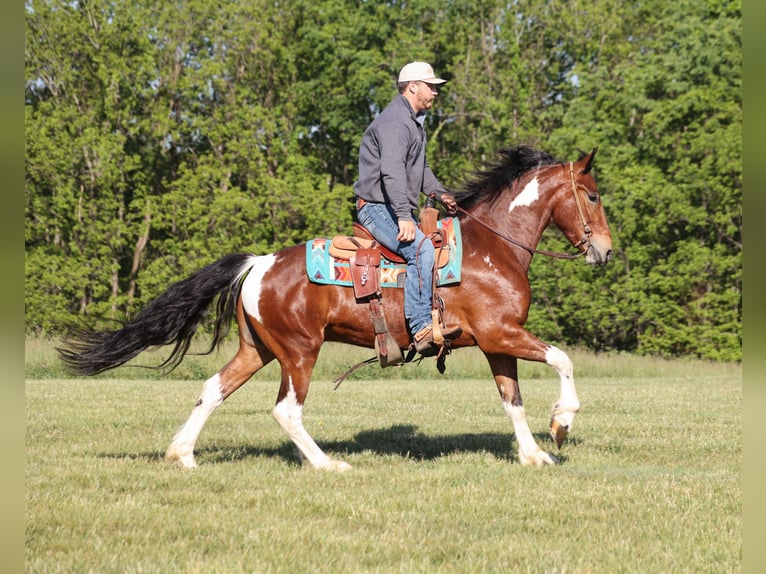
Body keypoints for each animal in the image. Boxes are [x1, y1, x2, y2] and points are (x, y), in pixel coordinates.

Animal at [59, 145, 613, 469]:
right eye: (592, 195)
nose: (605, 251)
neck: (492, 247)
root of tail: (257, 263)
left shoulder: (496, 342)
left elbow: (511, 399)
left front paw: (534, 454)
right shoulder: (501, 333)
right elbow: (562, 359)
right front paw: (561, 425)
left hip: (258, 349)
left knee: (213, 389)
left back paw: (182, 455)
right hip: (300, 351)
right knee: (286, 410)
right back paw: (328, 464)